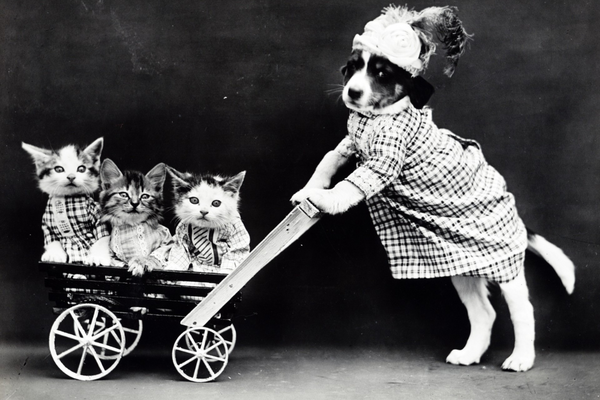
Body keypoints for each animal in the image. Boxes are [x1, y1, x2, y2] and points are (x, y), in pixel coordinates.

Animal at [291, 5, 575, 372]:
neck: (374, 119)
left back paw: (521, 358)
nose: (352, 92)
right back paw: (469, 354)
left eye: (382, 74)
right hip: (464, 269)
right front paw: (307, 189)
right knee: (484, 312)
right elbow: (327, 160)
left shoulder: (385, 161)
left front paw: (323, 198)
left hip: (506, 267)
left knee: (522, 310)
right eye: (353, 68)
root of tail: (518, 221)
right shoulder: (349, 144)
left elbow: (349, 186)